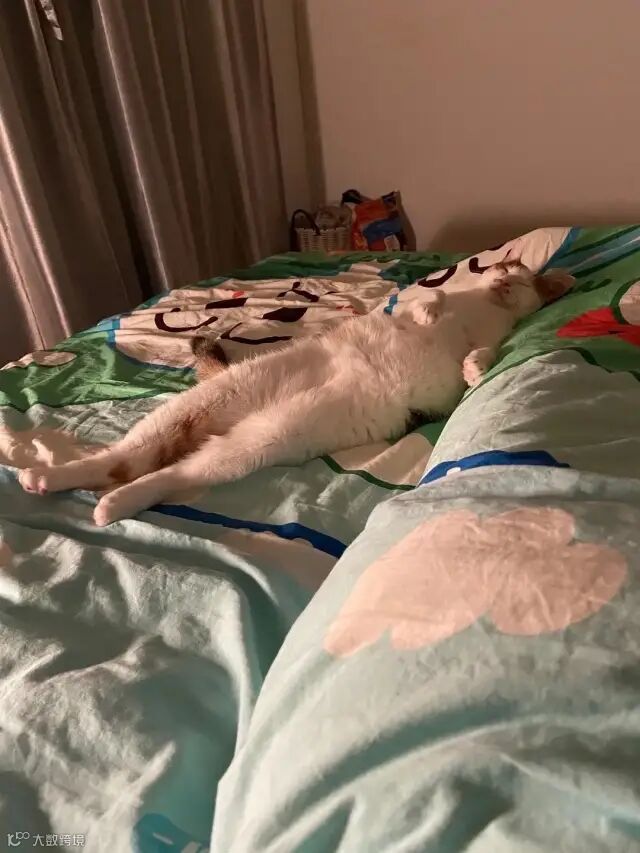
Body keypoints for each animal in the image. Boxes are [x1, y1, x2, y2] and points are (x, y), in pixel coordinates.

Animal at [18, 261, 574, 526]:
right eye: (502, 269)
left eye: (519, 278)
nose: (503, 279)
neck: (483, 309)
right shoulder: (430, 302)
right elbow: (427, 295)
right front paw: (429, 311)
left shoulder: (483, 346)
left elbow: (481, 356)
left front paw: (476, 368)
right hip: (215, 403)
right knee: (120, 458)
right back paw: (51, 478)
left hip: (261, 439)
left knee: (161, 473)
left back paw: (104, 500)